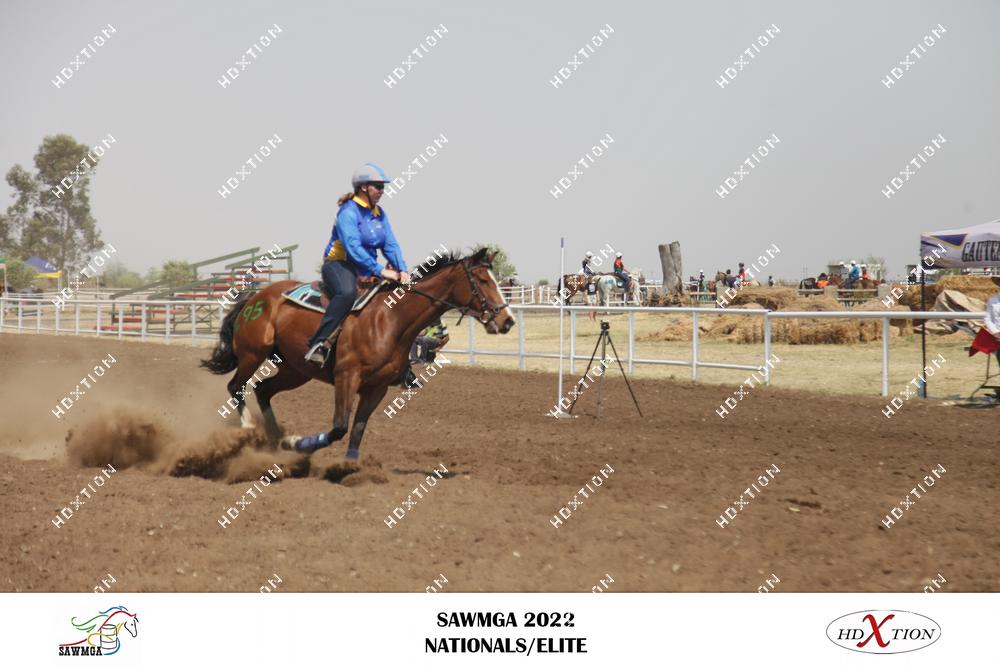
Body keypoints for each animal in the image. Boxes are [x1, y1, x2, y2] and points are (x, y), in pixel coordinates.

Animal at [201, 248, 515, 460]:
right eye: (483, 280)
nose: (507, 320)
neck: (390, 319)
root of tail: (255, 298)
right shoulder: (346, 377)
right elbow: (339, 427)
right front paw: (298, 444)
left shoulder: (376, 388)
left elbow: (358, 429)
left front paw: (351, 467)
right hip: (253, 353)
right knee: (236, 386)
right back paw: (250, 428)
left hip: (296, 370)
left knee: (263, 390)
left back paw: (275, 437)